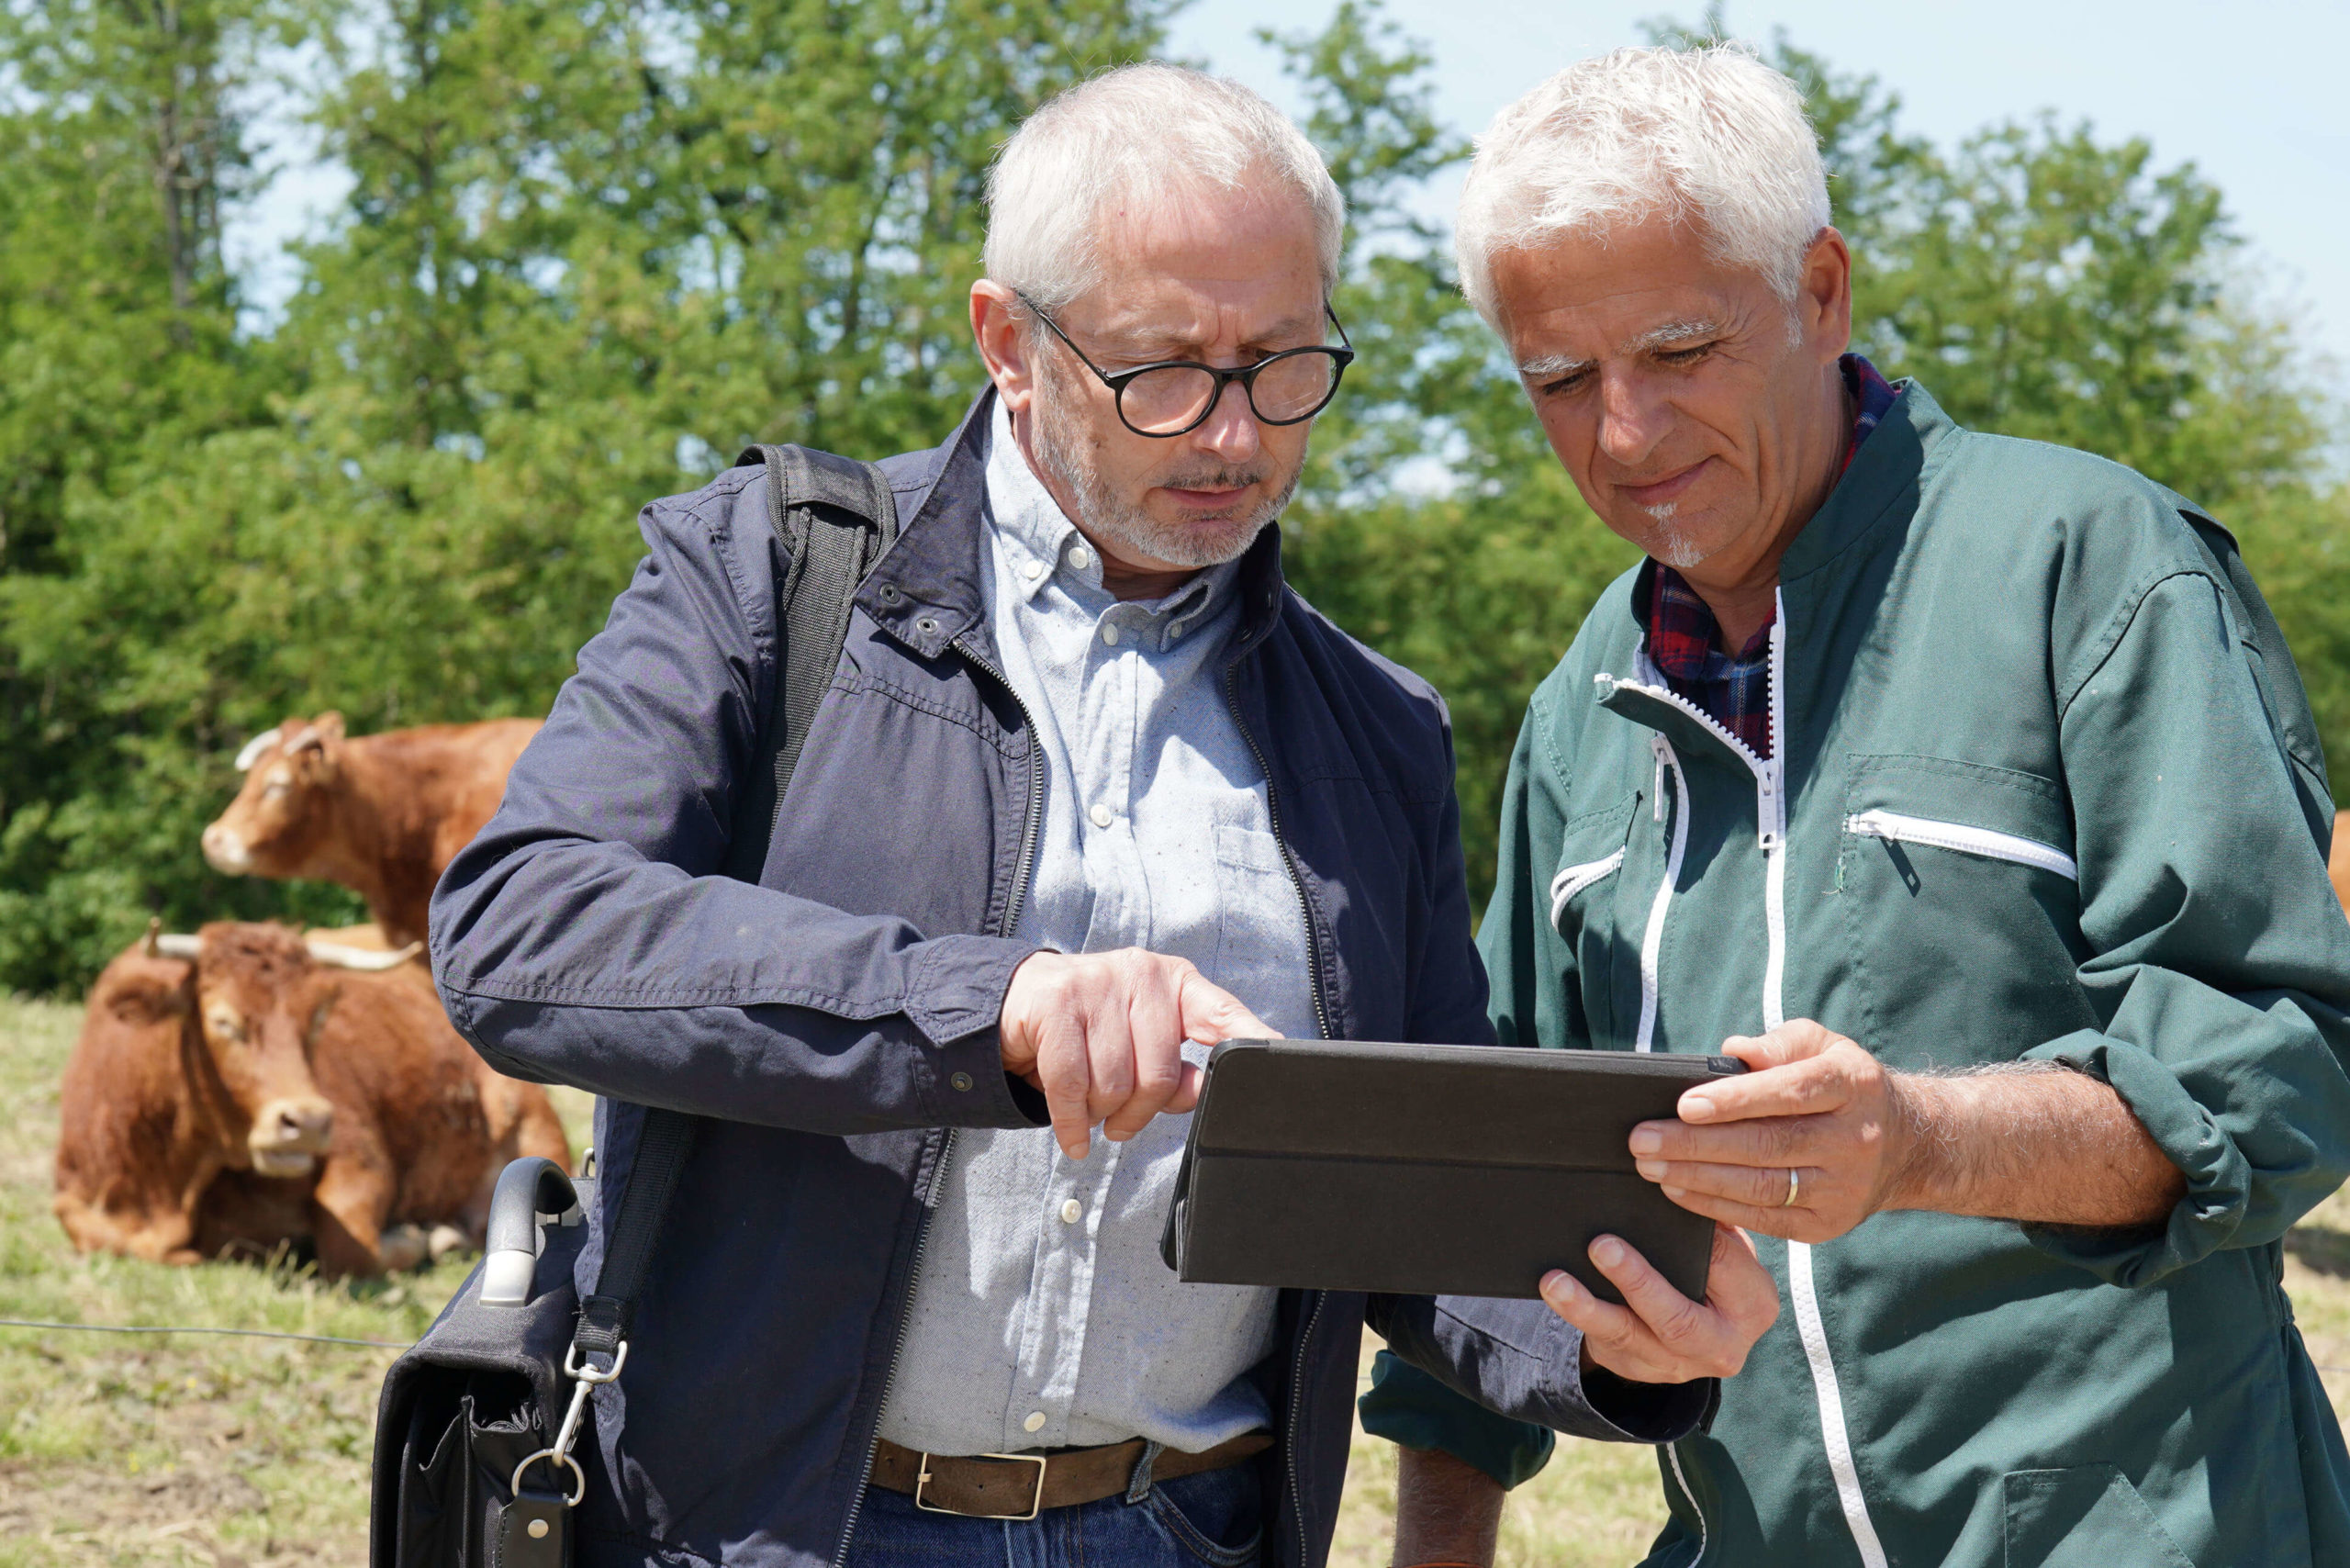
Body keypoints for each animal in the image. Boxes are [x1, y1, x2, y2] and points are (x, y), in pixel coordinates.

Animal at [53, 921, 568, 1279]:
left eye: (318, 1021)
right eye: (223, 1021)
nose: (308, 1122)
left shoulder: (362, 1160)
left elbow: (349, 1249)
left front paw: (417, 1240)